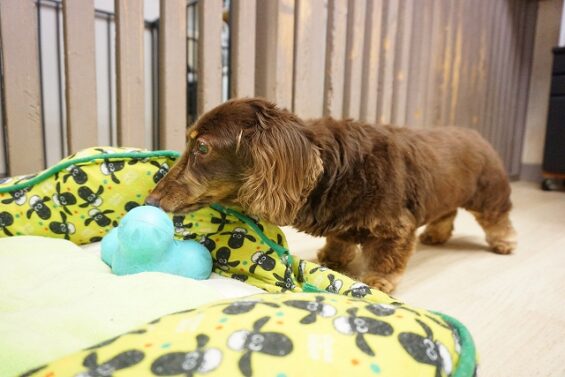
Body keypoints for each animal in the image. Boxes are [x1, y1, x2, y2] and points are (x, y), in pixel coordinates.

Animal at [147, 97, 516, 290]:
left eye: (203, 148)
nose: (150, 201)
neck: (334, 168)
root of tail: (477, 134)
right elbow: (340, 239)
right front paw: (333, 258)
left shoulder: (396, 227)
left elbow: (387, 256)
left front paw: (378, 281)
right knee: (446, 212)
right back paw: (438, 235)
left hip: (490, 194)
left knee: (498, 218)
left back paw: (504, 242)